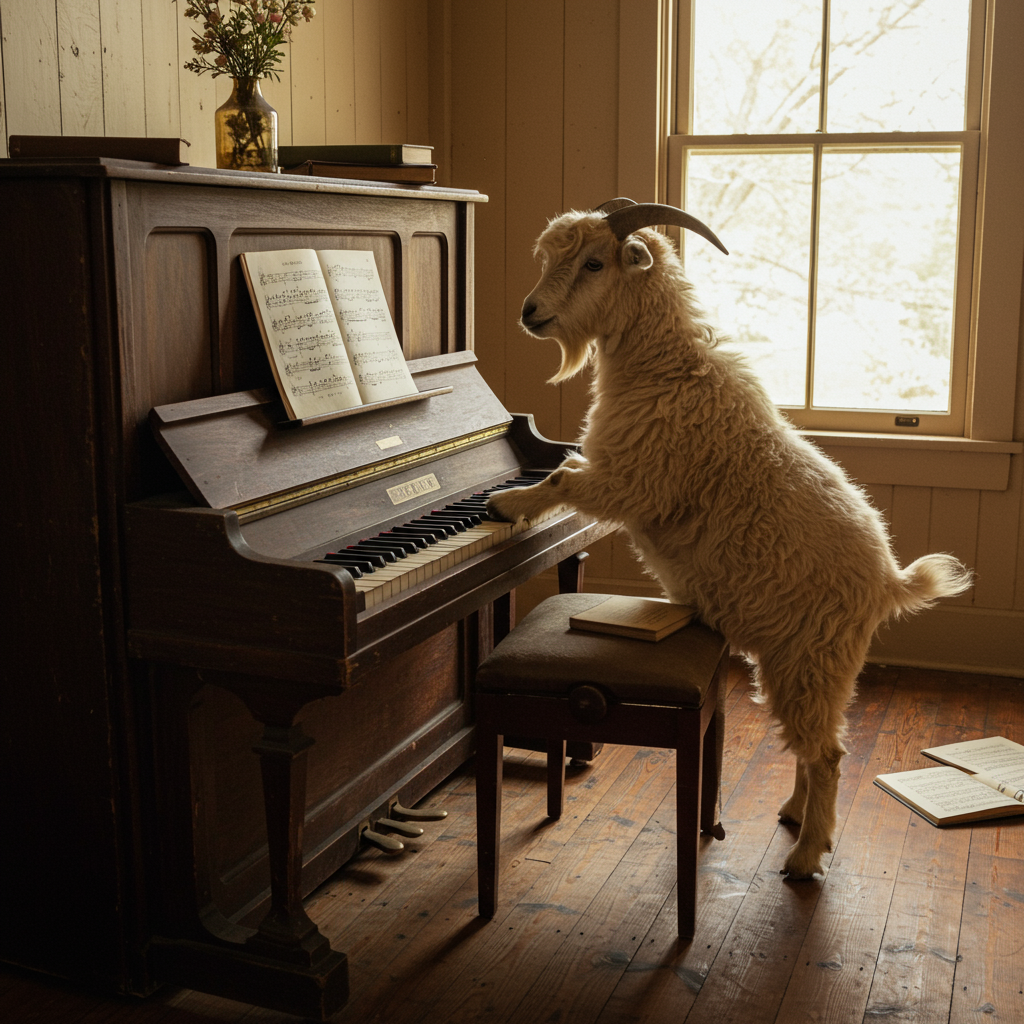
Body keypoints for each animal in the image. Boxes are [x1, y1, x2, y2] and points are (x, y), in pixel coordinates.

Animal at [489, 199, 974, 880]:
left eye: (594, 263)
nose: (530, 313)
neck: (670, 370)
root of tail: (889, 583)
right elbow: (563, 471)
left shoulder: (632, 482)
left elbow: (560, 475)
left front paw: (505, 503)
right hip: (794, 661)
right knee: (813, 746)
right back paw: (795, 813)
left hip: (812, 659)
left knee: (828, 753)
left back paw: (806, 854)